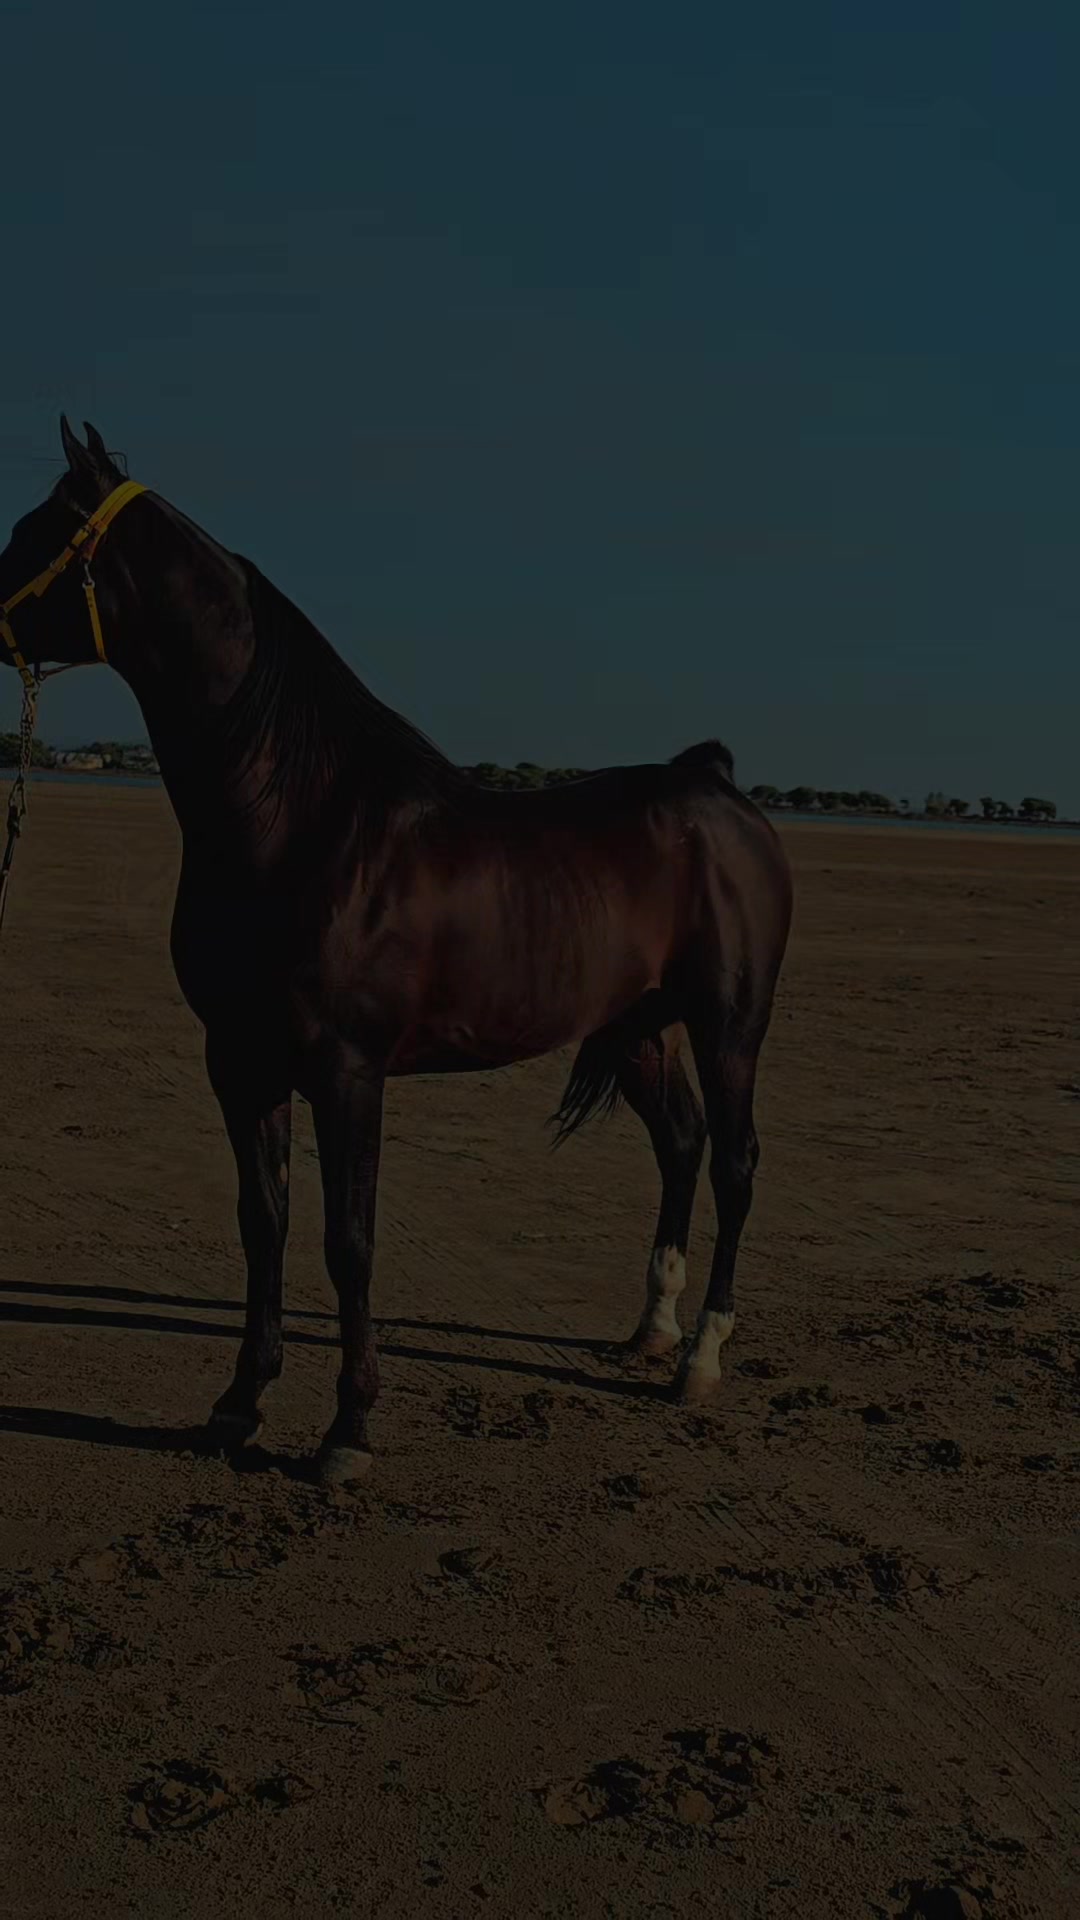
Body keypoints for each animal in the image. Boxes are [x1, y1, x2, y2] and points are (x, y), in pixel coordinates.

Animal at [0, 418, 793, 1485]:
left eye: (32, 531)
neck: (302, 819)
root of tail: (717, 789)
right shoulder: (240, 1062)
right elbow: (263, 1224)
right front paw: (239, 1404)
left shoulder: (347, 1071)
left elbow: (350, 1240)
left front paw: (348, 1431)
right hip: (638, 1030)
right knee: (681, 1146)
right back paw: (651, 1330)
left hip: (728, 1024)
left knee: (736, 1163)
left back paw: (700, 1359)